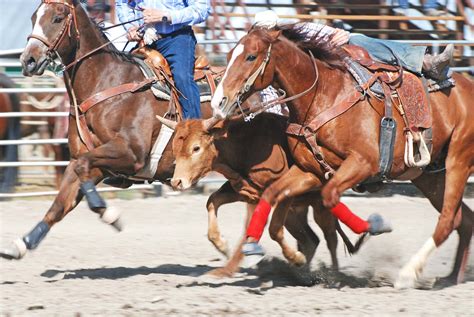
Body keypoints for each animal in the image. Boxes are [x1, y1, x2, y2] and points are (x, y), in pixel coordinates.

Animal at [211, 25, 474, 286]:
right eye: (229, 54)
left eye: (251, 56)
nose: (218, 101)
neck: (325, 96)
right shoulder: (310, 171)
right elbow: (275, 195)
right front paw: (271, 250)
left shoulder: (363, 163)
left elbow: (329, 196)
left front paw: (375, 225)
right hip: (429, 176)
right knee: (463, 219)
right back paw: (452, 277)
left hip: (458, 161)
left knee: (447, 220)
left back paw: (408, 273)